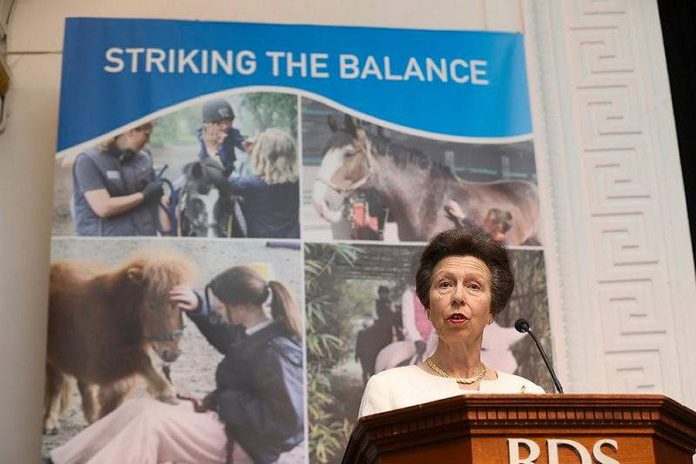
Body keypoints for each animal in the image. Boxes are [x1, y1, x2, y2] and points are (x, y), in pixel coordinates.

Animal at [43, 250, 197, 436]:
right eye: (151, 306)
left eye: (180, 306)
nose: (171, 353)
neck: (113, 312)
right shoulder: (105, 366)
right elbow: (142, 359)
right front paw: (166, 392)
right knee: (57, 385)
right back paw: (50, 422)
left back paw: (90, 417)